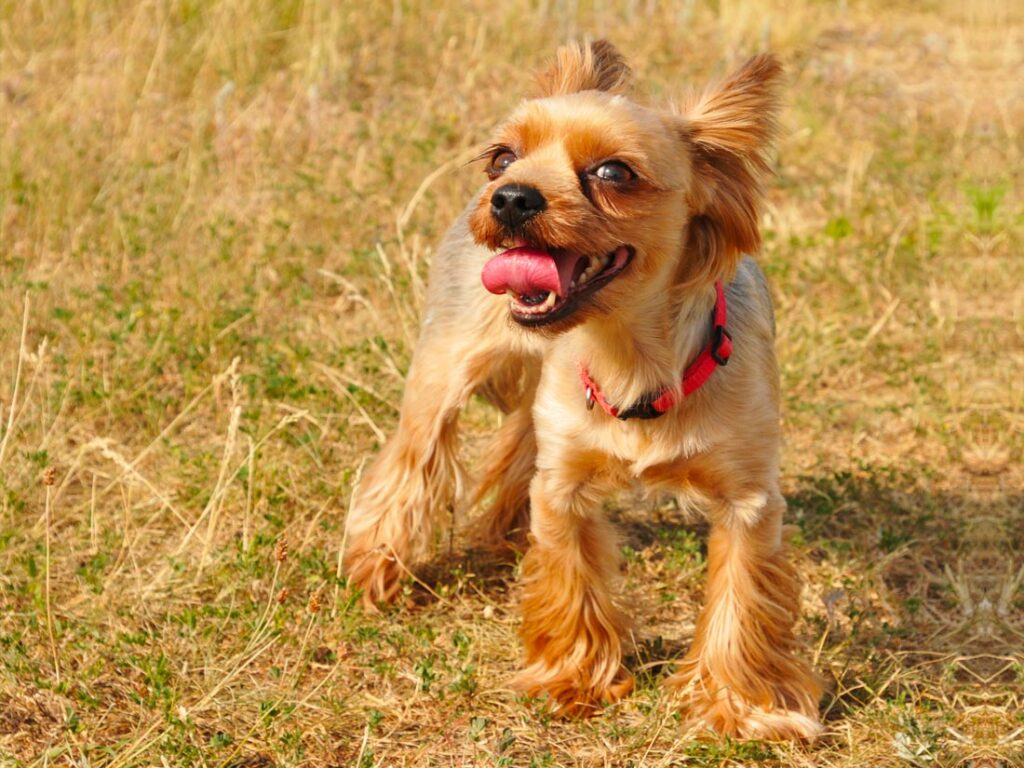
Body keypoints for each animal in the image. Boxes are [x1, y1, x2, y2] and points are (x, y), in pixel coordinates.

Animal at [344, 40, 823, 741]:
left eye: (613, 172)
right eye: (502, 155)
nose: (510, 197)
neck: (631, 355)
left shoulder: (749, 502)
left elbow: (741, 600)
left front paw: (739, 705)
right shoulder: (564, 484)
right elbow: (571, 577)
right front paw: (570, 680)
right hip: (445, 367)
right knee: (410, 459)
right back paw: (377, 563)